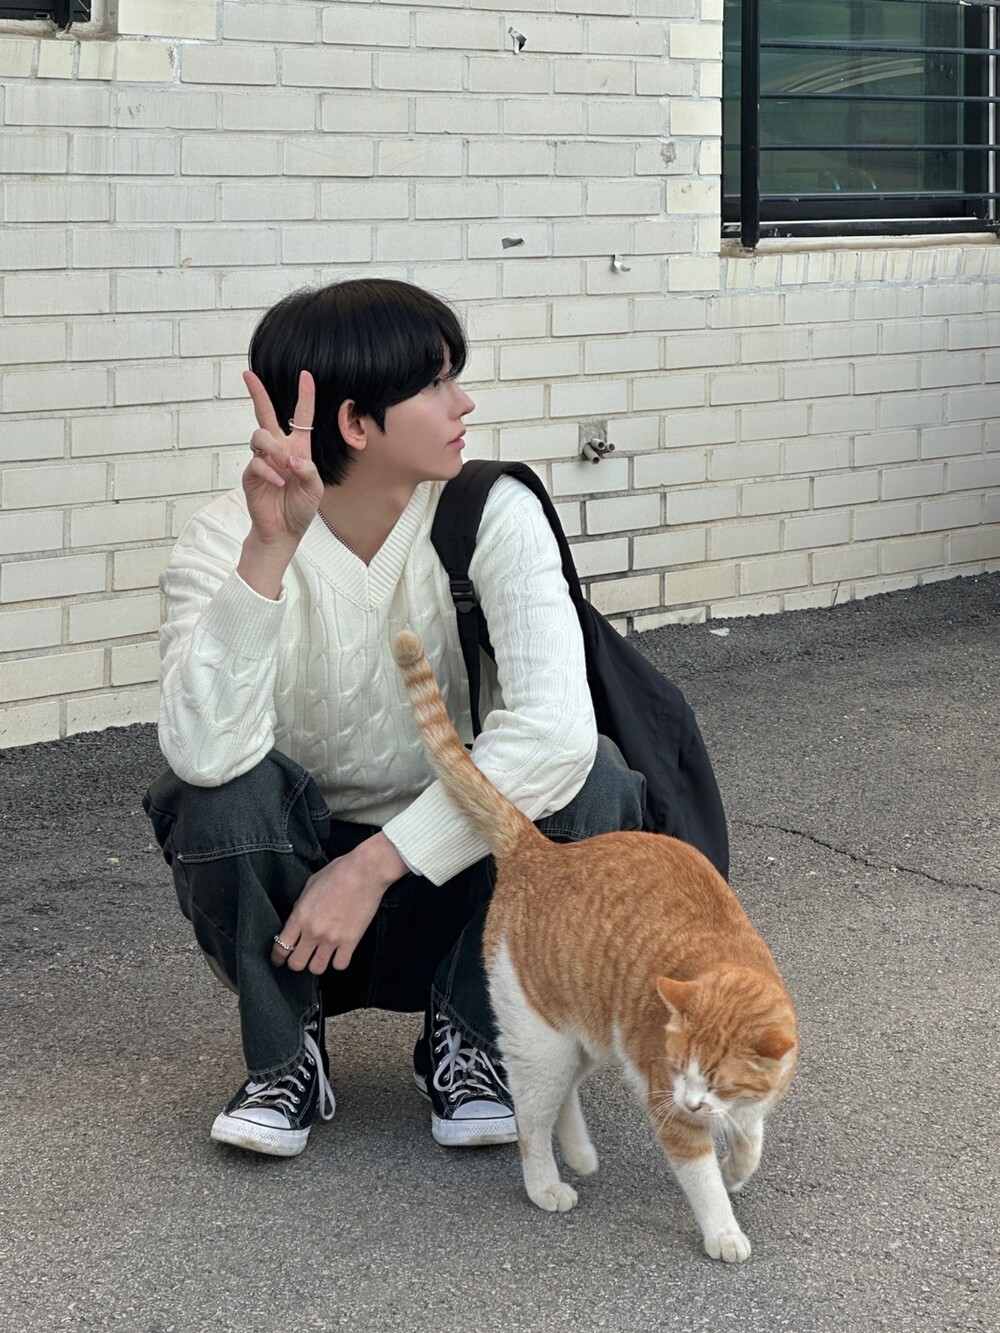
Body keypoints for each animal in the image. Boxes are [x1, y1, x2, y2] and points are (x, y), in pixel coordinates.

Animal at [392, 630, 797, 1264]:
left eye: (717, 1082)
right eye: (678, 1068)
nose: (691, 1102)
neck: (724, 958)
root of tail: (541, 852)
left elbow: (751, 1137)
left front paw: (739, 1166)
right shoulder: (667, 1105)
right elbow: (703, 1178)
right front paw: (724, 1227)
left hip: (582, 1033)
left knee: (563, 1096)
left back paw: (581, 1155)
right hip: (541, 1040)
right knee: (533, 1118)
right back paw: (547, 1184)